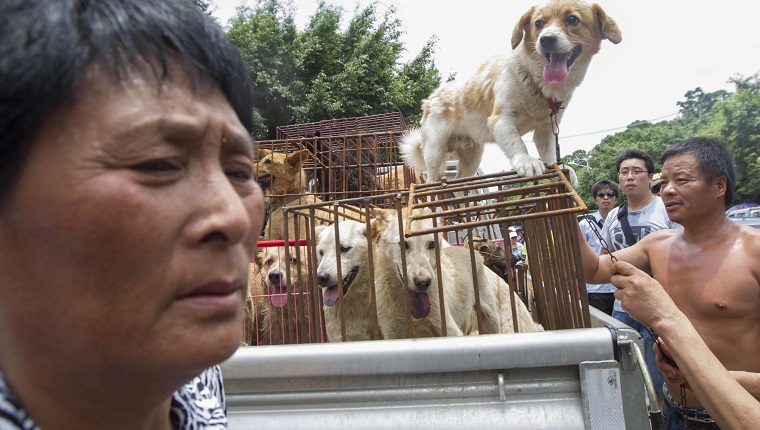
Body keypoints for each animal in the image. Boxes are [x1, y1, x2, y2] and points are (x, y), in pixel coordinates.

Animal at [370, 208, 504, 340]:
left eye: (431, 244)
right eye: (403, 244)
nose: (423, 282)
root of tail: (467, 249)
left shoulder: (450, 331)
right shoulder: (393, 334)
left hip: (490, 317)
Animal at [400, 1, 620, 186]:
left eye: (572, 19)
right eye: (538, 23)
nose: (546, 40)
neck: (535, 80)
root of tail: (430, 99)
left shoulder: (546, 130)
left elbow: (550, 154)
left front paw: (560, 167)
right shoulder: (500, 120)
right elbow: (517, 143)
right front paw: (526, 161)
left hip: (472, 156)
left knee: (461, 183)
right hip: (435, 152)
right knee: (432, 183)